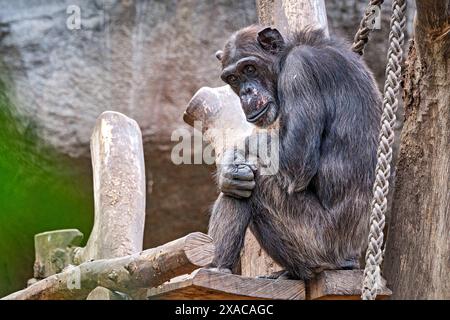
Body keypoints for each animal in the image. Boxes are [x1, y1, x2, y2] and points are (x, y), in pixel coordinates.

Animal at [209, 25, 382, 280]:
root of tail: (351, 259)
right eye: (233, 78)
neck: (285, 55)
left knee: (256, 179)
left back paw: (216, 269)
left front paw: (232, 160)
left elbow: (295, 159)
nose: (246, 92)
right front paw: (228, 172)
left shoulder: (298, 71)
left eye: (249, 68)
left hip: (317, 242)